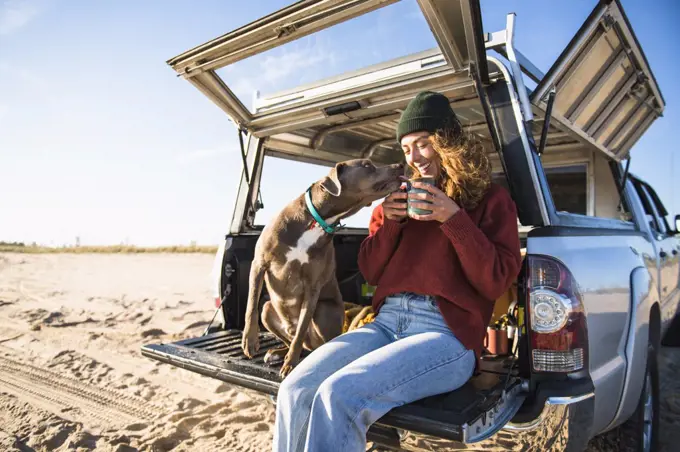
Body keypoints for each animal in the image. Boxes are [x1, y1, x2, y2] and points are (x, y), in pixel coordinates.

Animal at [242, 159, 404, 378]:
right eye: (367, 165)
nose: (400, 165)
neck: (316, 220)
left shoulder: (313, 286)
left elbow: (302, 326)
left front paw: (290, 365)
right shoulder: (259, 264)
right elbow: (251, 304)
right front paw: (250, 341)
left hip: (322, 309)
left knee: (308, 341)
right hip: (267, 309)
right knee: (290, 336)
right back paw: (278, 352)